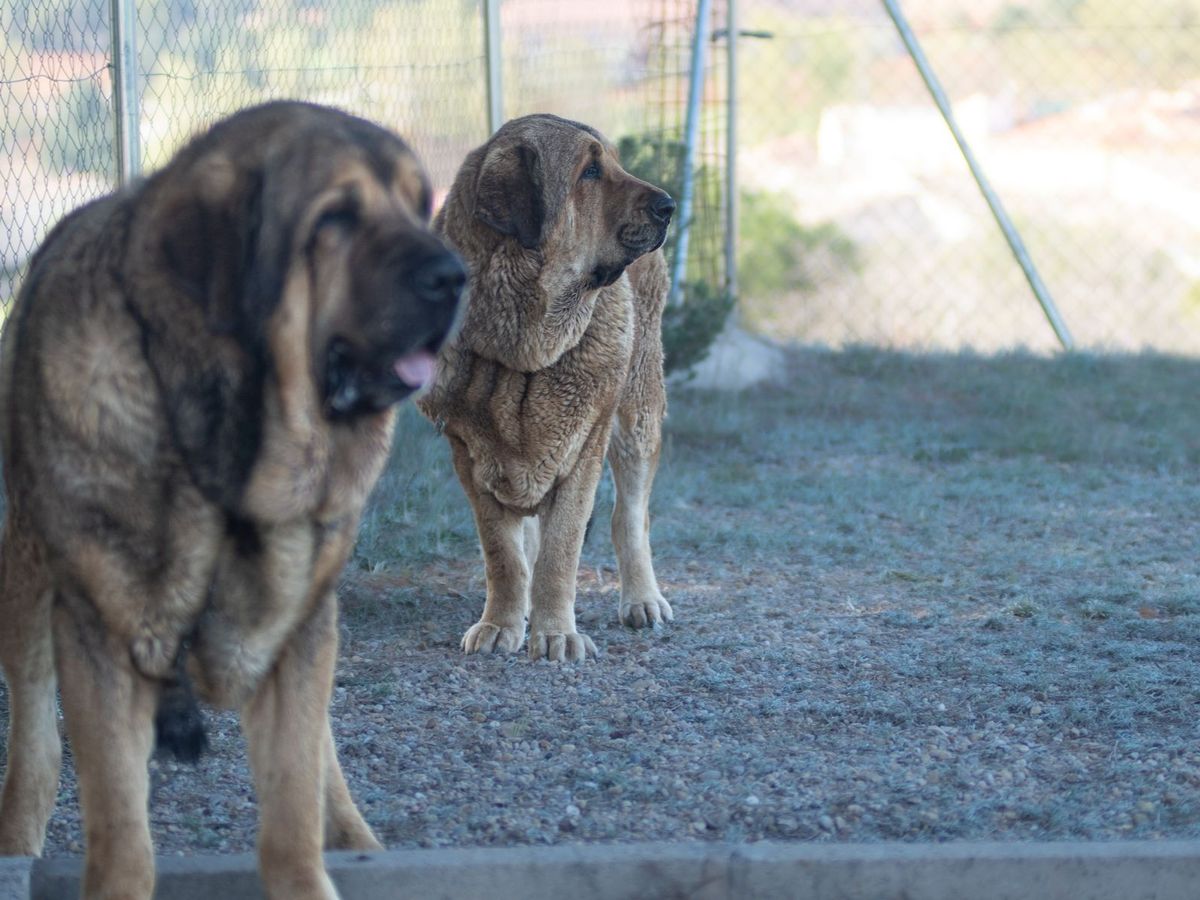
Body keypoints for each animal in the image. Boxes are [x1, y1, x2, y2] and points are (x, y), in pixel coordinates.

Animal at [0, 102, 463, 897]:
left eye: (418, 203)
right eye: (334, 218)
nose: (455, 274)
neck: (226, 463)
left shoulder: (296, 632)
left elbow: (292, 805)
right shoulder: (98, 641)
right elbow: (120, 827)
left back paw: (354, 836)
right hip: (27, 585)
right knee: (32, 734)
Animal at [420, 114, 676, 662]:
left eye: (613, 164)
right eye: (590, 172)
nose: (669, 205)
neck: (523, 347)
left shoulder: (583, 453)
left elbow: (561, 551)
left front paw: (557, 633)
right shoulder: (469, 456)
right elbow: (505, 555)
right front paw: (501, 624)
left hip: (637, 416)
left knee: (631, 517)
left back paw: (642, 600)